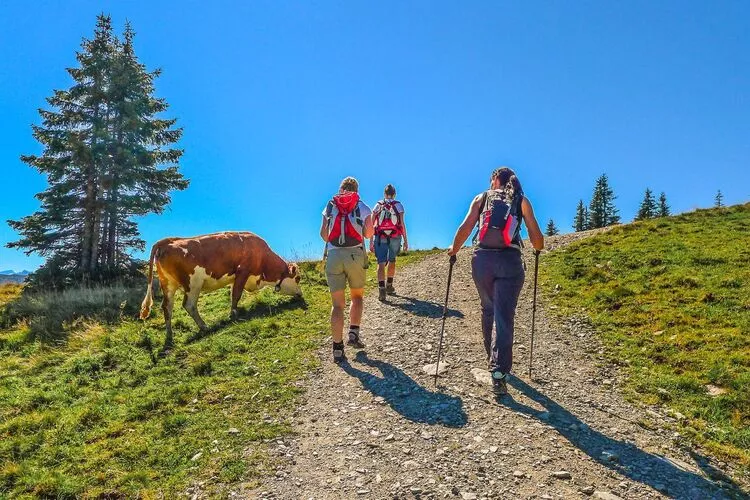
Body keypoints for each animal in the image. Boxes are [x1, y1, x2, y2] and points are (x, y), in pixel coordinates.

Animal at [138, 231, 302, 346]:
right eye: (298, 278)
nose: (300, 294)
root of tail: (167, 241)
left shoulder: (235, 278)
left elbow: (232, 294)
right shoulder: (243, 272)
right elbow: (236, 294)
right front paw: (234, 313)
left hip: (168, 285)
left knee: (167, 307)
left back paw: (169, 335)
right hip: (193, 283)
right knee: (189, 305)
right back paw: (204, 326)